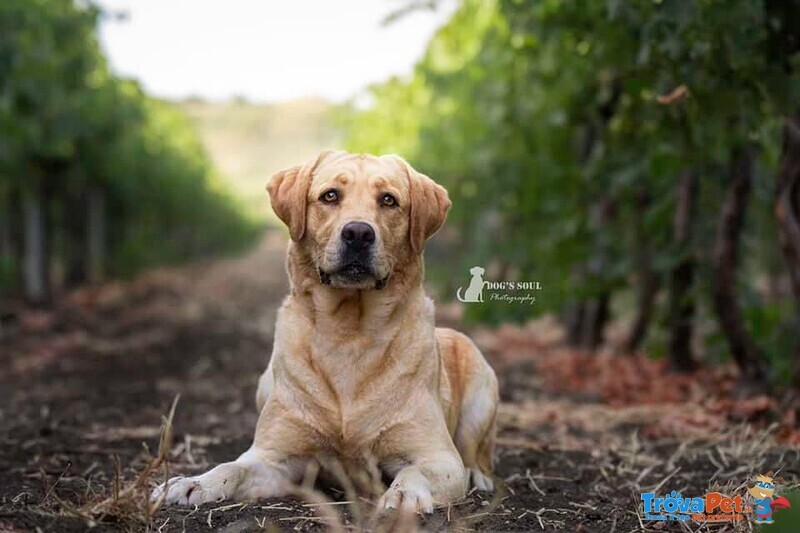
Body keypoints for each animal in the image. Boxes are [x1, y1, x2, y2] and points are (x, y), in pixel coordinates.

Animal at [152, 150, 496, 512]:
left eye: (388, 200)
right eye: (330, 196)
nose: (358, 233)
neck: (348, 331)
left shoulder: (439, 457)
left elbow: (415, 472)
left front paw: (404, 496)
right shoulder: (271, 458)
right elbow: (231, 468)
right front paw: (191, 482)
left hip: (482, 391)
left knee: (475, 451)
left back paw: (479, 475)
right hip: (264, 385)